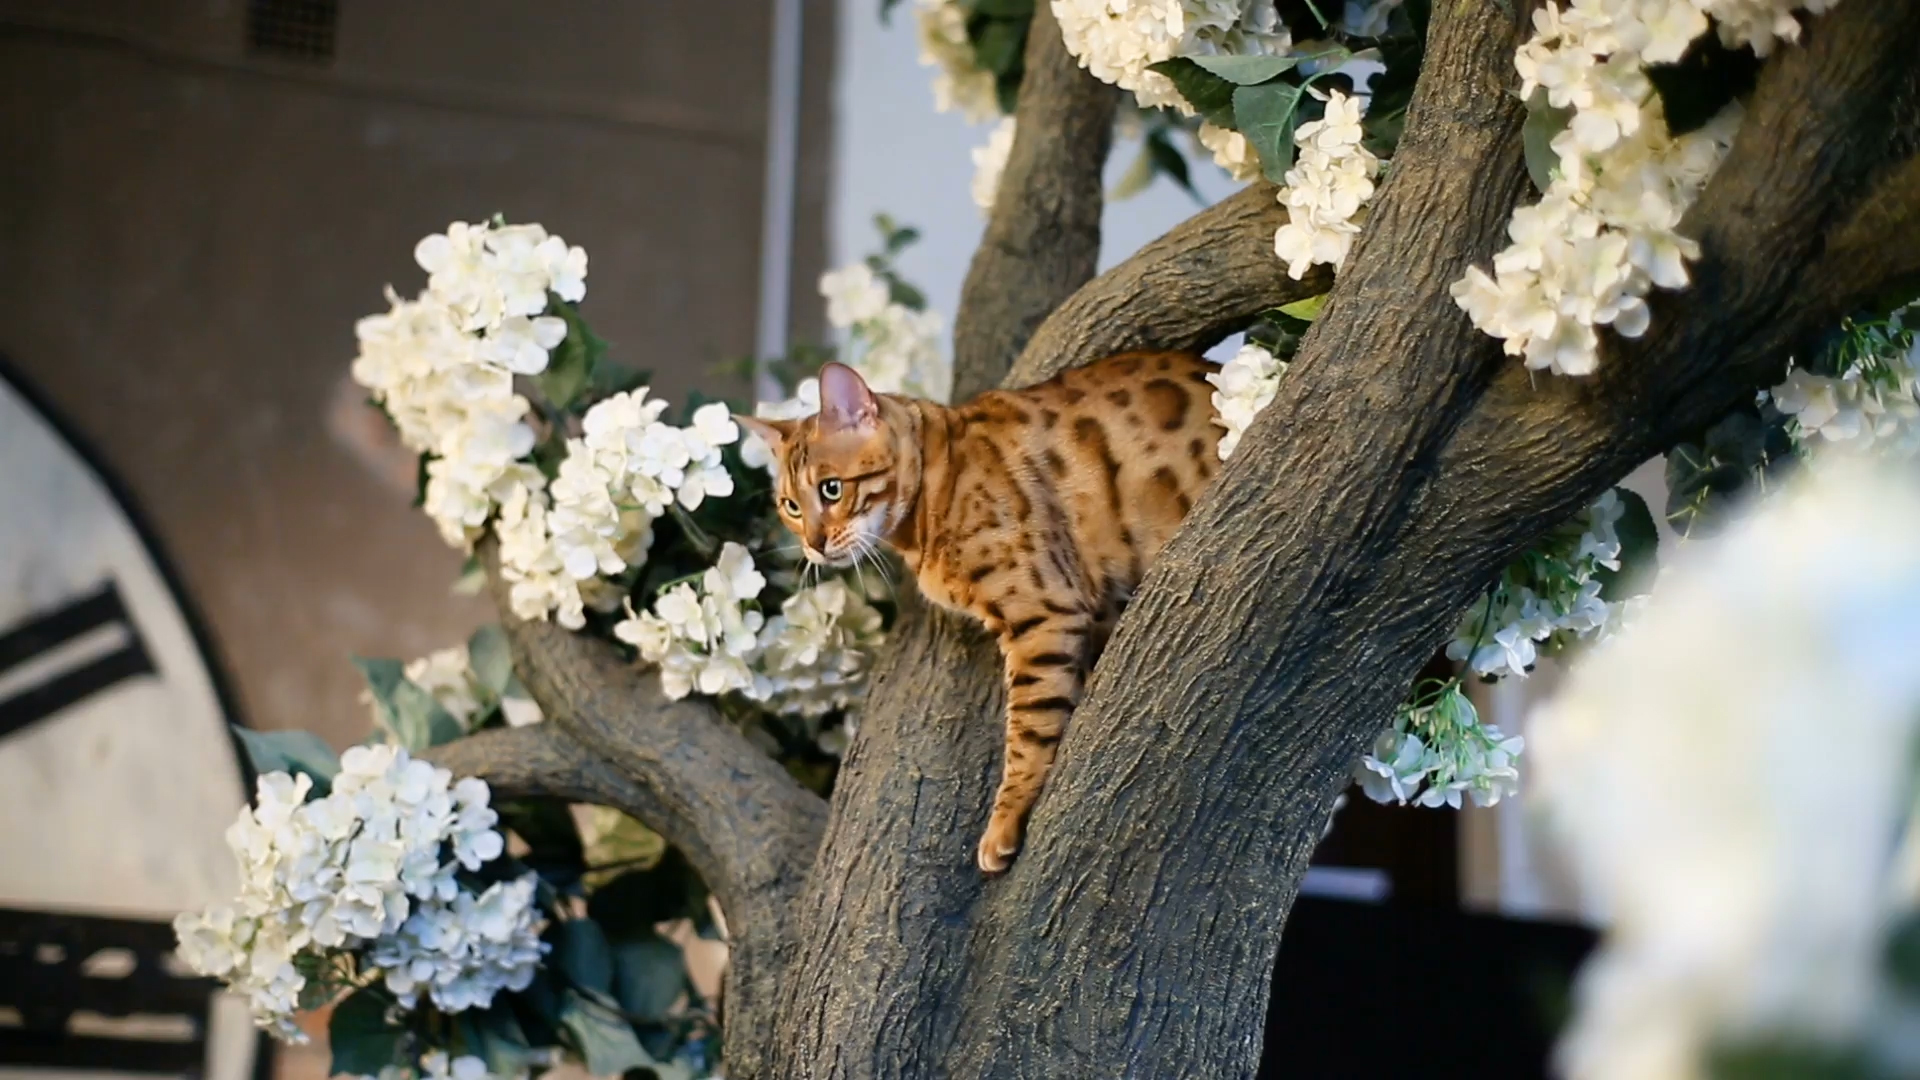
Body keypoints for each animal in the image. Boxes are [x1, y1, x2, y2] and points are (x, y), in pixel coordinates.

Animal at [733, 349, 1213, 868]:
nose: (814, 546)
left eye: (831, 489)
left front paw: (1007, 817)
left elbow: (1029, 726)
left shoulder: (1046, 613)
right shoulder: (1092, 615)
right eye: (791, 506)